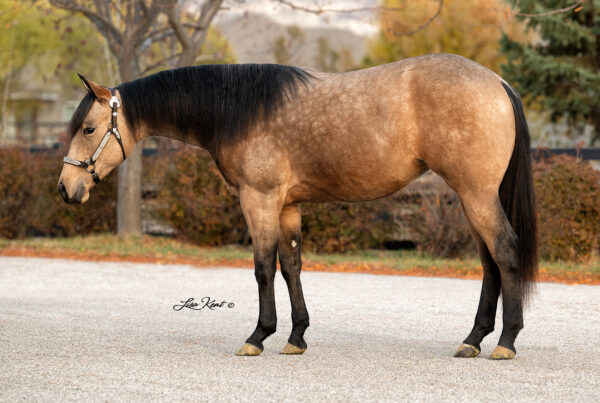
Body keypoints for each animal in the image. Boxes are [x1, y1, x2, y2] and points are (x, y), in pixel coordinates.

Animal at [58, 53, 540, 360]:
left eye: (88, 128)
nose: (66, 188)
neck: (238, 110)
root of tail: (498, 83)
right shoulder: (288, 205)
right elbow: (291, 266)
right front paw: (296, 337)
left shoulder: (259, 199)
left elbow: (263, 268)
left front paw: (258, 335)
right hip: (471, 197)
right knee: (489, 261)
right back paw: (474, 339)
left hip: (476, 194)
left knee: (505, 250)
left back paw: (506, 342)